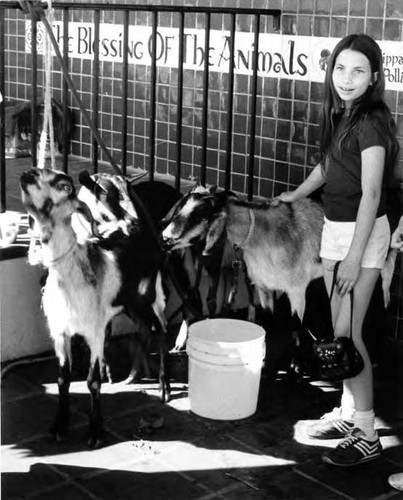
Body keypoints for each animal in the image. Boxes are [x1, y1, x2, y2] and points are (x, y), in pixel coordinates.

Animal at [20, 167, 169, 446]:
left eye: (65, 186)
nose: (27, 173)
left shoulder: (95, 332)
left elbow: (92, 382)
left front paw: (96, 432)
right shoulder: (60, 332)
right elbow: (62, 379)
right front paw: (59, 426)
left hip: (149, 298)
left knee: (161, 330)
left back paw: (164, 387)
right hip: (127, 303)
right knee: (144, 329)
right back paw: (137, 372)